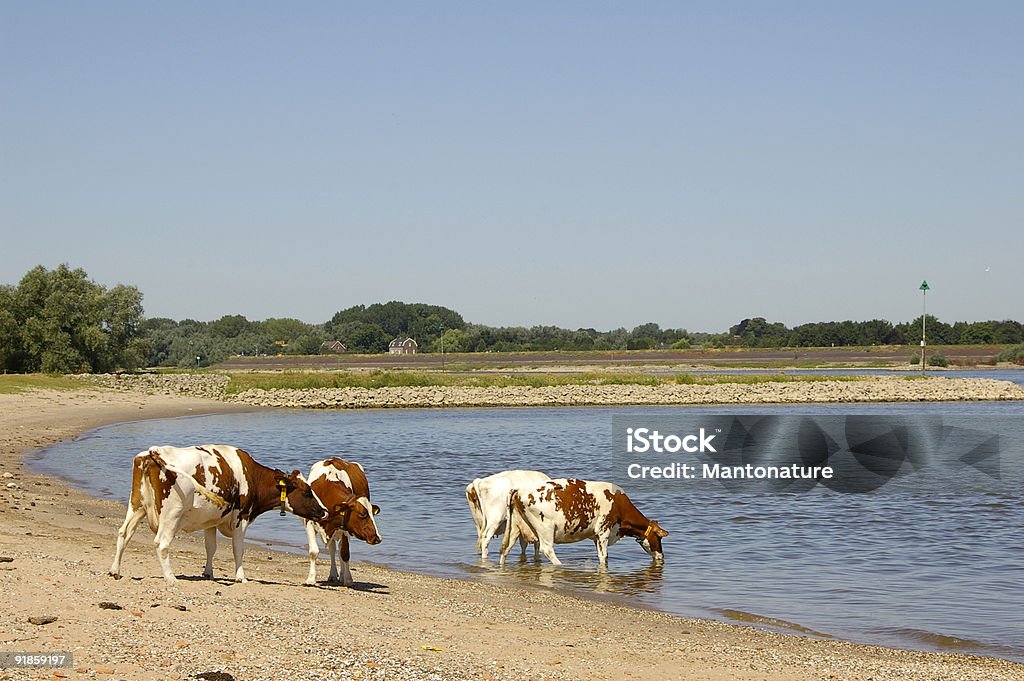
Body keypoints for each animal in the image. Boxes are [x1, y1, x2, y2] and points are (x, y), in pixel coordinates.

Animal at [108, 446, 325, 585]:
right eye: (307, 492)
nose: (324, 511)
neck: (251, 475)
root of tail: (153, 451)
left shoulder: (210, 521)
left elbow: (211, 547)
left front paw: (208, 573)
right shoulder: (241, 517)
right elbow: (238, 549)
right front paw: (241, 577)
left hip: (137, 505)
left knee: (124, 533)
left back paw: (115, 571)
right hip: (171, 514)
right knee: (161, 544)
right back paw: (170, 578)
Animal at [307, 456, 385, 585]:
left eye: (372, 514)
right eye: (362, 514)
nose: (377, 538)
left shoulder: (345, 528)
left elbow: (344, 553)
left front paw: (348, 579)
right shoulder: (308, 522)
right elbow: (314, 552)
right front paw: (311, 579)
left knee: (339, 550)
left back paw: (342, 575)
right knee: (333, 548)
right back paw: (333, 575)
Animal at [497, 477, 671, 569]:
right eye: (659, 538)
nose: (662, 556)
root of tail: (519, 489)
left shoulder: (596, 536)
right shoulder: (603, 531)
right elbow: (604, 556)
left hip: (515, 527)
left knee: (505, 549)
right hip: (545, 528)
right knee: (547, 550)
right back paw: (560, 565)